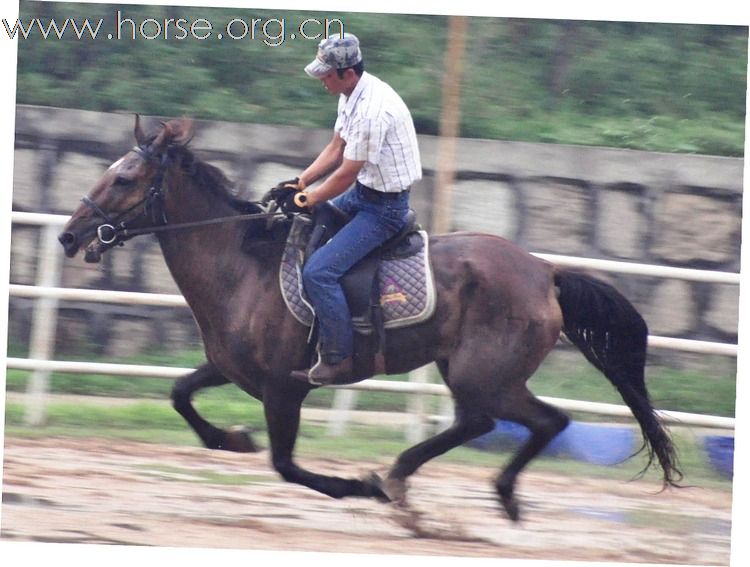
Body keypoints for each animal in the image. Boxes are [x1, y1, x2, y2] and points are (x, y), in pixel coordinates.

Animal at [58, 117, 680, 520]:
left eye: (124, 178)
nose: (69, 235)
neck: (242, 264)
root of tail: (545, 272)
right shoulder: (231, 369)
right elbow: (180, 395)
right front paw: (231, 438)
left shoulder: (285, 387)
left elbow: (286, 464)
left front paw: (354, 486)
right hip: (470, 372)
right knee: (484, 423)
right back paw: (407, 480)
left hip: (487, 373)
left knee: (541, 421)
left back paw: (465, 490)